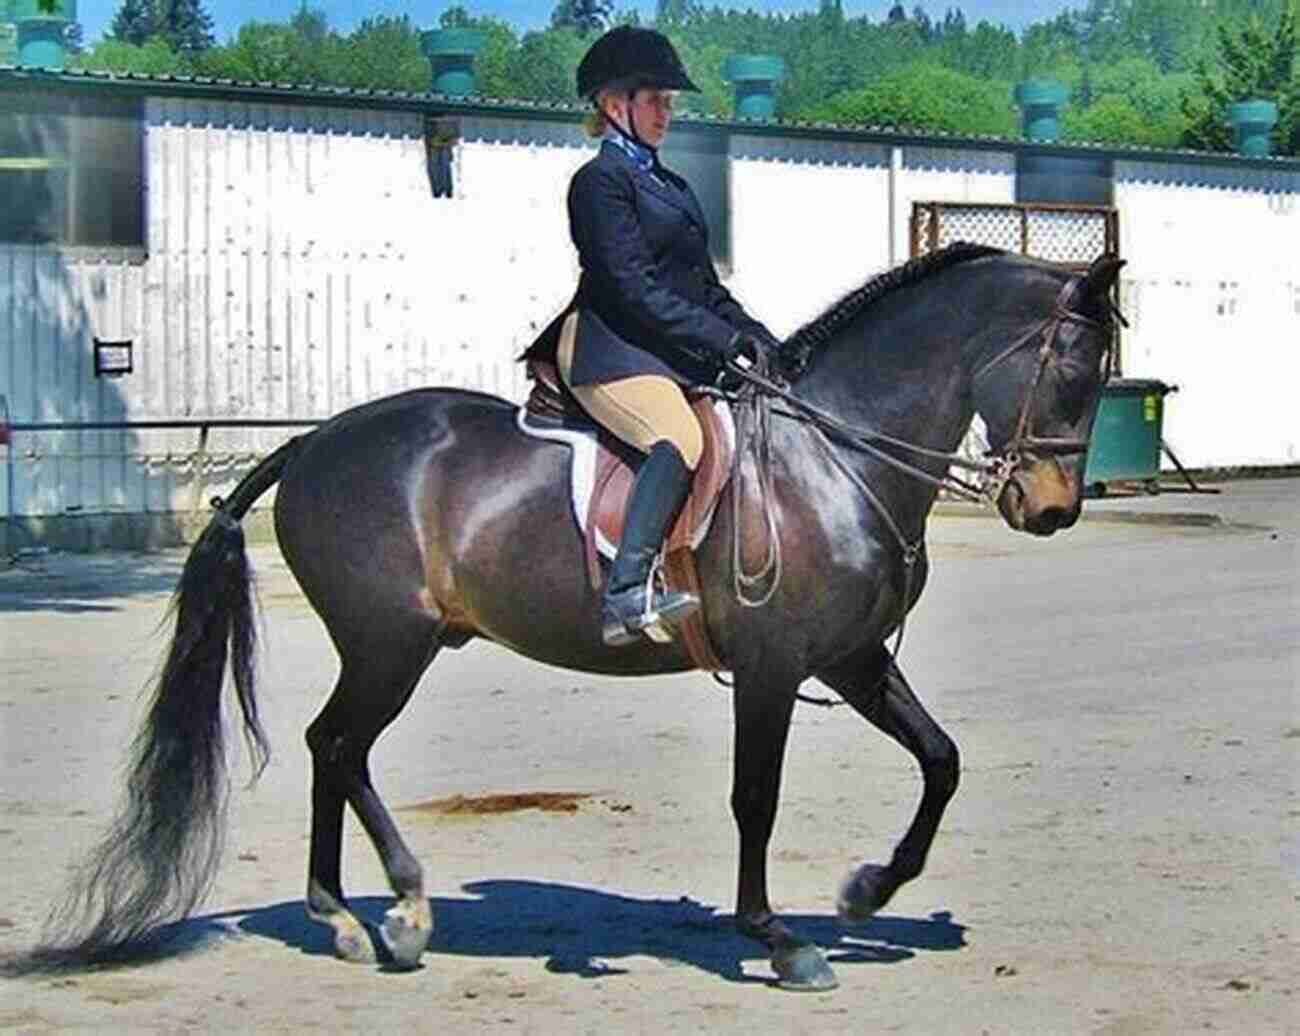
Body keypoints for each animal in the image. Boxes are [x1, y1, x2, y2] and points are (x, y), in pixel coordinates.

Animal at [27, 237, 1128, 987]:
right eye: (1074, 371)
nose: (1052, 509)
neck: (834, 454)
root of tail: (313, 443)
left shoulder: (850, 656)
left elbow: (941, 760)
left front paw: (870, 889)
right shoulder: (774, 665)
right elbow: (756, 799)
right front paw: (777, 938)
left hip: (397, 645)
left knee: (334, 750)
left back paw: (360, 916)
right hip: (390, 644)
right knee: (336, 744)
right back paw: (383, 912)